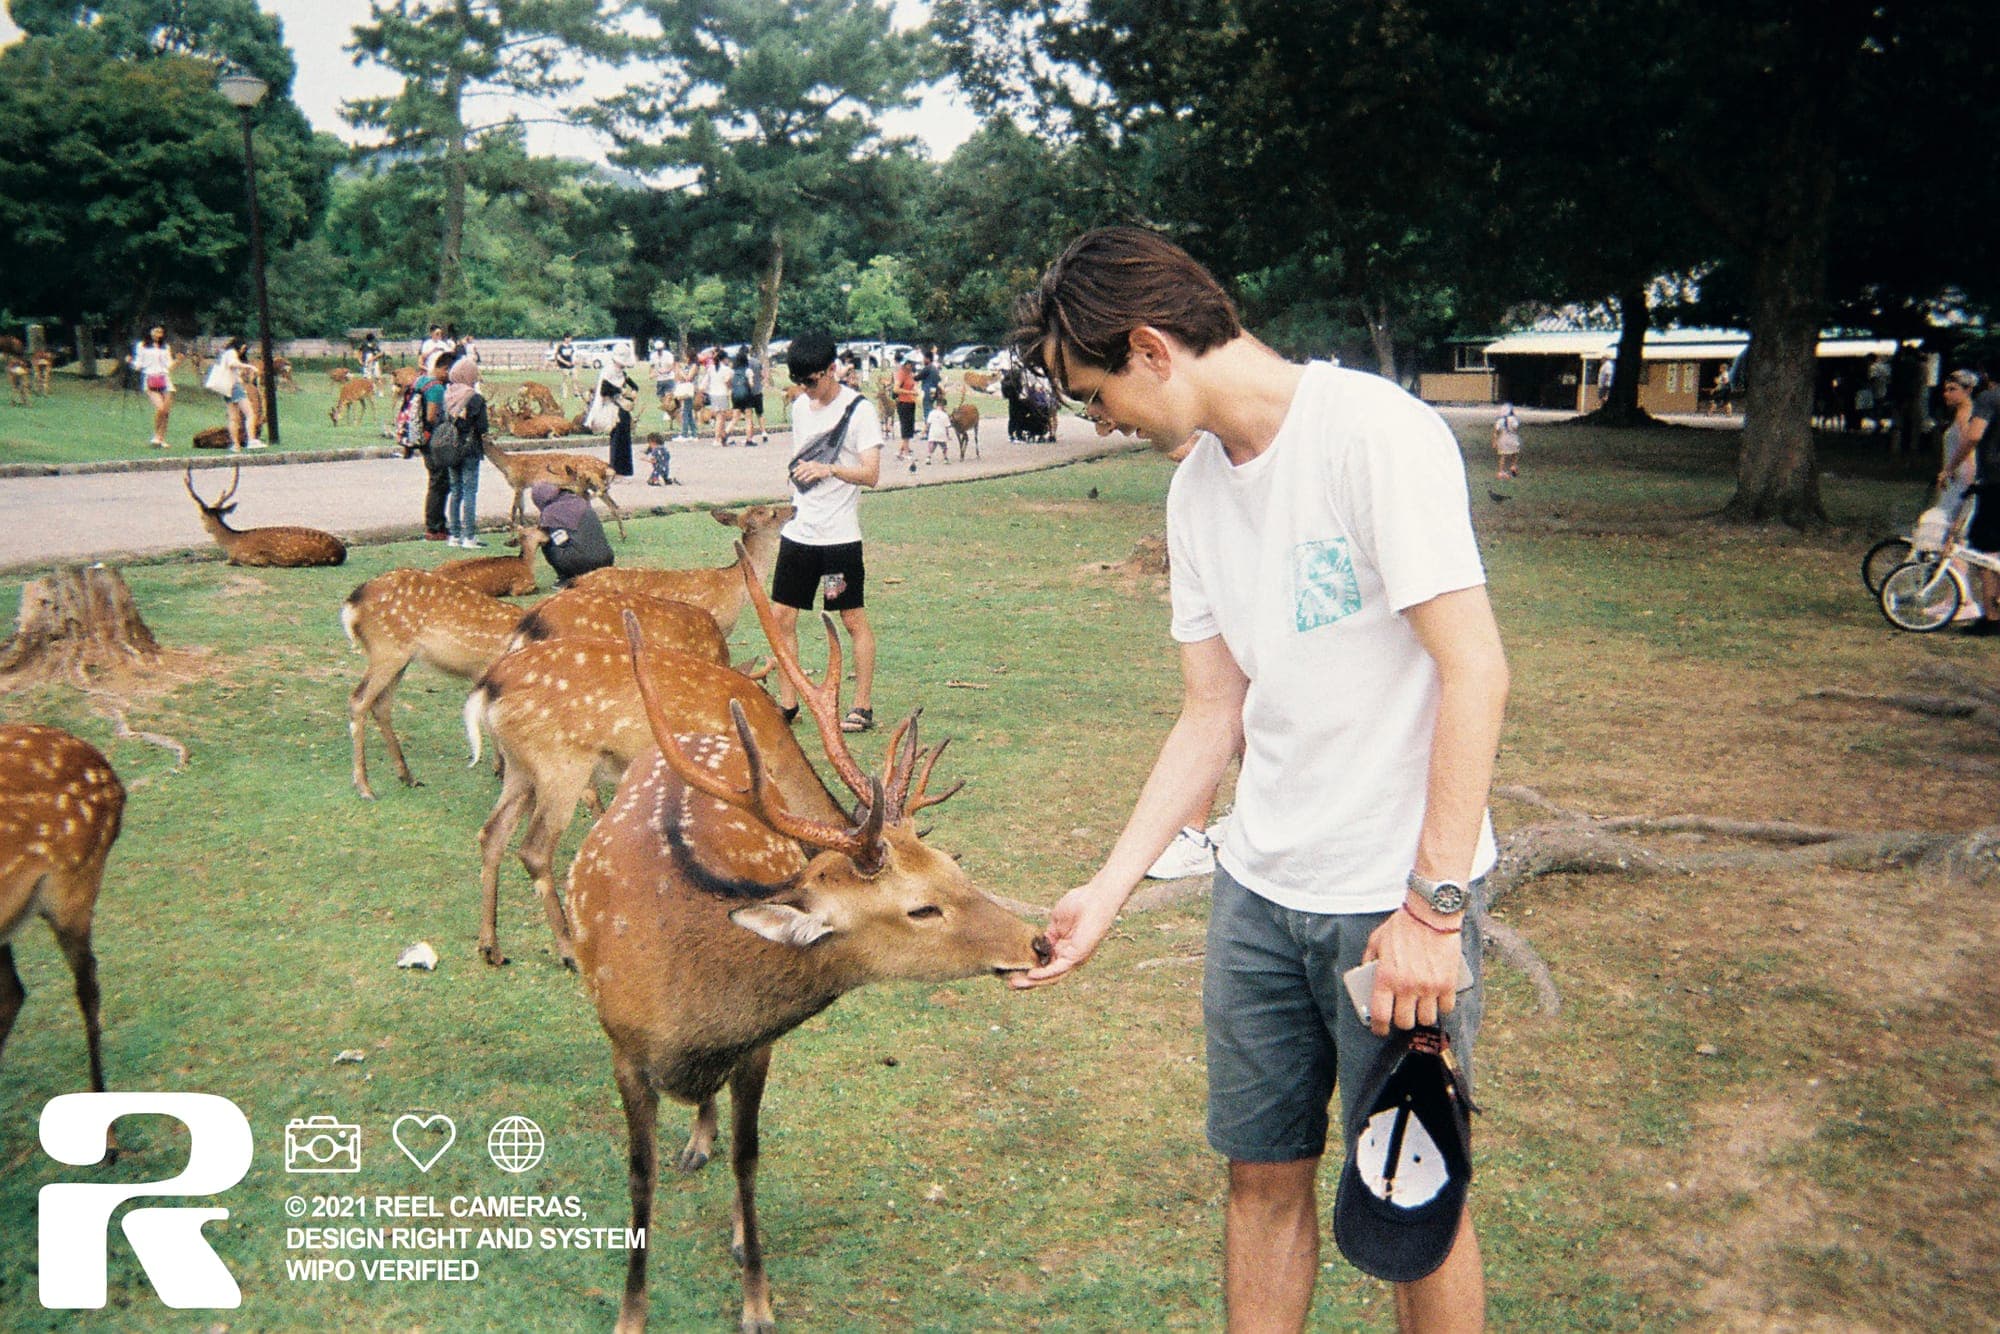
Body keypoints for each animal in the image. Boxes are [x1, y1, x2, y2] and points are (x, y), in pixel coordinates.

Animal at [184, 467, 347, 568]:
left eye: (201, 517)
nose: (207, 529)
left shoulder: (255, 557)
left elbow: (231, 562)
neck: (233, 543)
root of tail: (342, 552)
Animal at [340, 567, 521, 799]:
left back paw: (407, 776)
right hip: (386, 649)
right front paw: (502, 772)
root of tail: (352, 604)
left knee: (381, 705)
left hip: (399, 658)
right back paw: (365, 787)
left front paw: (500, 770)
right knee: (358, 700)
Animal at [482, 440, 628, 540]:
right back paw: (622, 536)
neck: (508, 465)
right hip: (591, 485)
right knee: (612, 504)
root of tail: (607, 468)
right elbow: (521, 509)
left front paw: (511, 536)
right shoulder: (522, 487)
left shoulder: (518, 483)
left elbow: (513, 510)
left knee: (595, 498)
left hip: (587, 481)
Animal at [570, 591, 1050, 1333]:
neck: (691, 1010)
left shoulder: (756, 1047)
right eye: (922, 909)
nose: (1038, 943)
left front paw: (757, 1295)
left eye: (952, 864)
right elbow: (638, 1178)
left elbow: (748, 1158)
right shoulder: (622, 1047)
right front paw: (630, 1314)